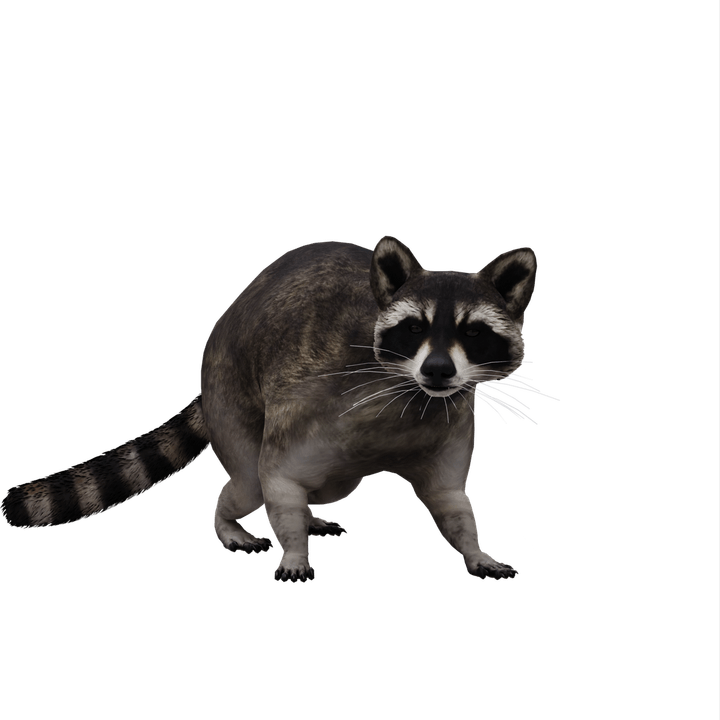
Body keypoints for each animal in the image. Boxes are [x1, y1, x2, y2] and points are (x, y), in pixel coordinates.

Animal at [2, 234, 539, 584]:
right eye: (414, 327)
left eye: (474, 331)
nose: (439, 370)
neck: (413, 397)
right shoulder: (312, 406)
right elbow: (279, 476)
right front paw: (295, 550)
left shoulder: (448, 423)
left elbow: (450, 500)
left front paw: (475, 549)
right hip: (231, 395)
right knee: (248, 481)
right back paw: (231, 521)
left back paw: (310, 516)